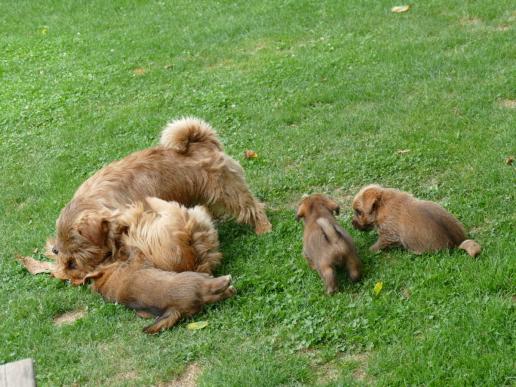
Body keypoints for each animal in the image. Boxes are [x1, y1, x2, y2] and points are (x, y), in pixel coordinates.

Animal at [50, 116, 272, 284]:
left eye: (75, 257)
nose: (70, 275)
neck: (100, 200)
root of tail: (201, 140)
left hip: (228, 189)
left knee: (251, 206)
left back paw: (263, 227)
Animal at [352, 185, 482, 258]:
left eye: (358, 212)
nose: (352, 224)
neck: (381, 205)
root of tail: (457, 243)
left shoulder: (387, 235)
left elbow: (378, 244)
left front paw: (370, 250)